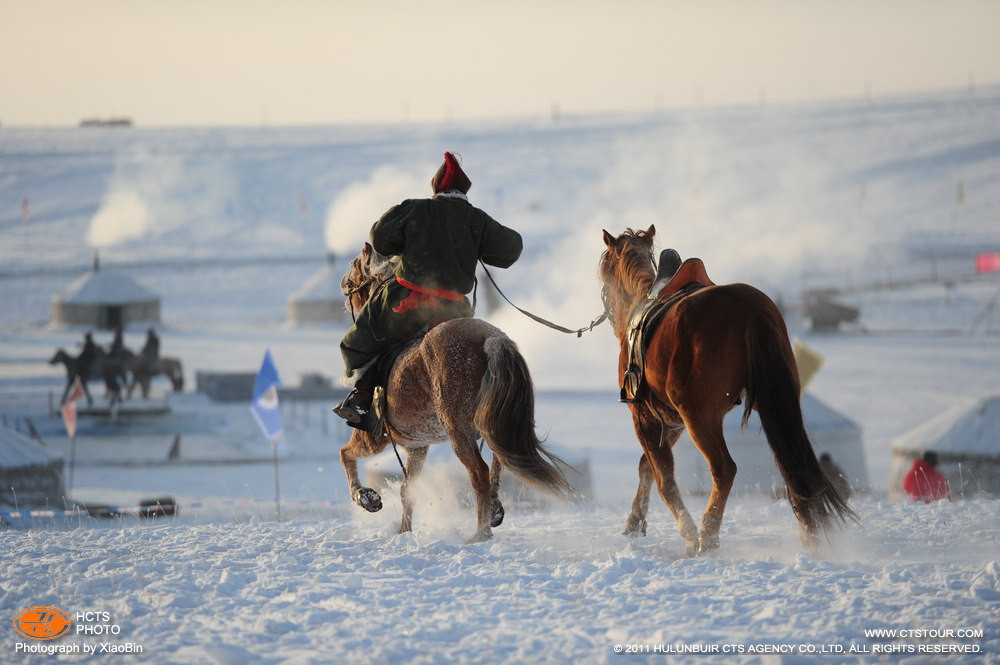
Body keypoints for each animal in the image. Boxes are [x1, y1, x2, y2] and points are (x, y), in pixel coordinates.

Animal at [338, 241, 576, 544]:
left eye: (356, 268)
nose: (344, 287)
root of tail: (491, 339)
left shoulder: (373, 435)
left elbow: (346, 454)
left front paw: (366, 497)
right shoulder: (417, 446)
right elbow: (408, 490)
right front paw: (404, 532)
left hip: (457, 431)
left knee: (479, 473)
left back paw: (480, 532)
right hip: (489, 423)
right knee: (500, 459)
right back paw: (494, 510)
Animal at [596, 226, 856, 552]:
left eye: (604, 269)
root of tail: (750, 309)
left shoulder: (645, 416)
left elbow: (663, 478)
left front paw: (687, 531)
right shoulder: (672, 421)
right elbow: (649, 466)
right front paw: (635, 520)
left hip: (700, 417)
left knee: (724, 469)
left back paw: (707, 534)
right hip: (775, 405)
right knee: (792, 464)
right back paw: (809, 532)